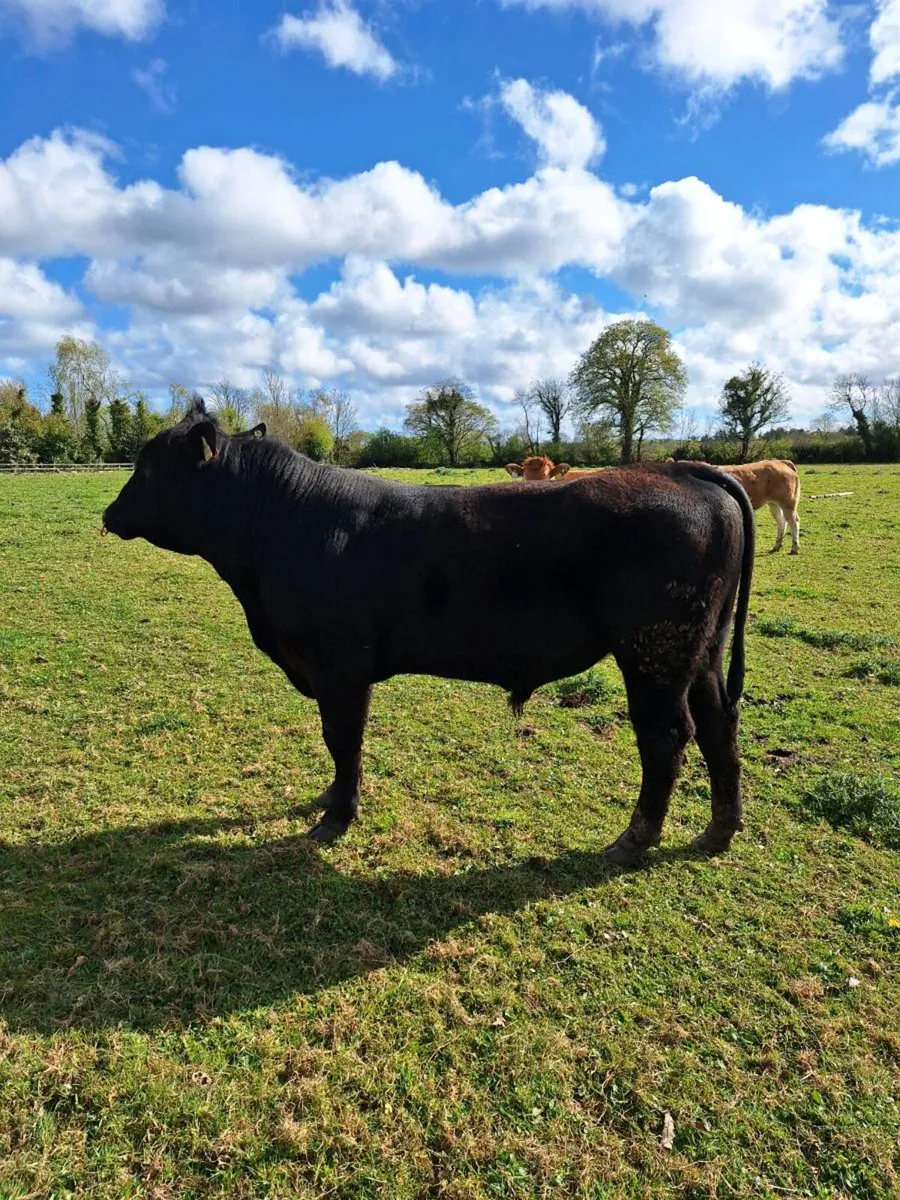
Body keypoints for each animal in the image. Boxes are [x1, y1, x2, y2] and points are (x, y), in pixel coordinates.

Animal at [102, 400, 755, 866]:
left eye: (150, 466)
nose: (109, 514)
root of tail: (687, 472)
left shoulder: (340, 664)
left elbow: (342, 738)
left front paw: (335, 818)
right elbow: (336, 743)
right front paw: (328, 800)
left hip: (653, 651)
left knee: (666, 737)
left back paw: (632, 841)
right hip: (702, 649)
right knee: (718, 725)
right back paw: (717, 832)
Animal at [666, 459, 801, 554]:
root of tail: (779, 461)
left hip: (788, 502)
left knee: (793, 521)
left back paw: (794, 547)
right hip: (774, 503)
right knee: (782, 521)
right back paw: (777, 546)